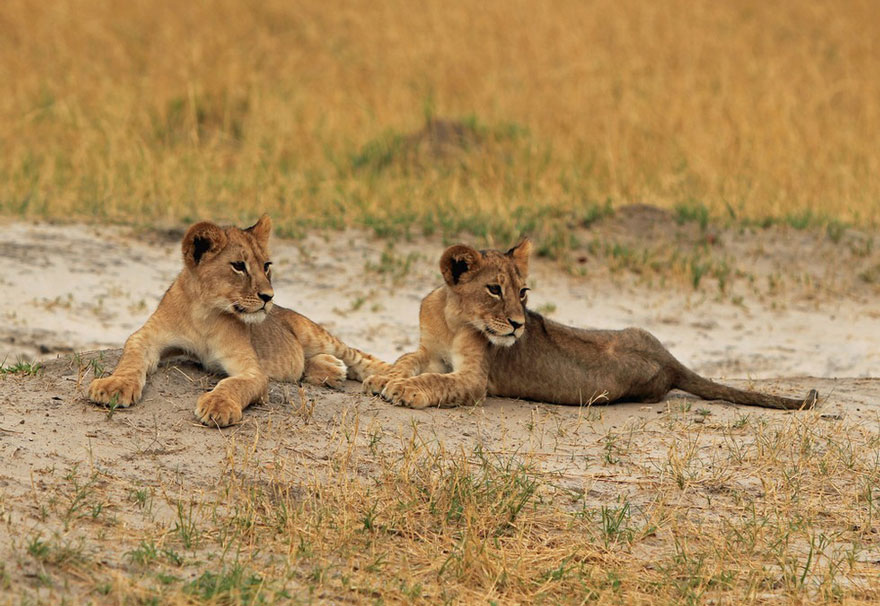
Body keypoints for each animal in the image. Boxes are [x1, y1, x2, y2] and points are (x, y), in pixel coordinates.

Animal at [89, 215, 389, 426]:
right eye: (238, 266)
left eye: (266, 266)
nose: (269, 296)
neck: (204, 314)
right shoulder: (147, 337)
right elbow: (131, 360)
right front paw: (112, 386)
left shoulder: (251, 369)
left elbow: (233, 383)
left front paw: (218, 406)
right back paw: (331, 369)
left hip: (314, 333)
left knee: (362, 357)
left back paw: (383, 379)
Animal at [364, 240, 818, 410]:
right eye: (494, 289)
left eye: (523, 292)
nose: (518, 325)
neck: (452, 317)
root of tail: (669, 359)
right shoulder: (428, 349)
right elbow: (406, 358)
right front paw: (382, 376)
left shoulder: (477, 378)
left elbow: (436, 381)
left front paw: (403, 390)